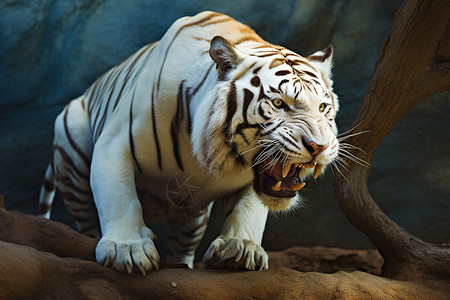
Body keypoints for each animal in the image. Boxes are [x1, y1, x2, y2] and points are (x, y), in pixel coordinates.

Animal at [38, 11, 340, 274]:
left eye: (323, 107)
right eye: (278, 103)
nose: (319, 147)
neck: (210, 154)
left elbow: (249, 208)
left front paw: (241, 248)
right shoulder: (114, 144)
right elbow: (120, 197)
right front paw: (128, 249)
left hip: (193, 215)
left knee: (182, 248)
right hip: (73, 154)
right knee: (87, 223)